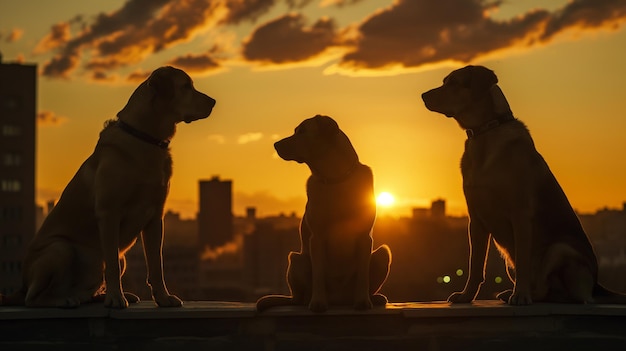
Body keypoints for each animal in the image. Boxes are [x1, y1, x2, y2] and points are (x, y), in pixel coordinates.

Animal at [0, 66, 214, 308]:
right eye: (186, 86)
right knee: (33, 298)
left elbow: (156, 264)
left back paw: (99, 296)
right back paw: (66, 299)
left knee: (86, 289)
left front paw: (163, 298)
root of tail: (21, 285)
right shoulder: (109, 213)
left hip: (120, 258)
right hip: (60, 249)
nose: (213, 102)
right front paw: (115, 298)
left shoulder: (155, 218)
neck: (146, 138)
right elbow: (111, 263)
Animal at [255, 115, 390, 314]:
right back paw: (309, 300)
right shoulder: (317, 238)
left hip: (382, 254)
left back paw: (373, 298)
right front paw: (318, 303)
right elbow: (318, 273)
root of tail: (339, 300)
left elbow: (363, 275)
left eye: (302, 131)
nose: (275, 144)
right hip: (296, 259)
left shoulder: (364, 237)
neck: (335, 179)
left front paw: (363, 302)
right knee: (299, 298)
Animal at [420, 65, 624, 306]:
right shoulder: (476, 220)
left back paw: (525, 295)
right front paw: (466, 296)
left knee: (561, 292)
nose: (423, 95)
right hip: (510, 259)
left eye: (454, 83)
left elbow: (523, 265)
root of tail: (596, 283)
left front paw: (520, 295)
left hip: (559, 250)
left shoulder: (520, 215)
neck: (486, 132)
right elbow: (475, 265)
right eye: (445, 81)